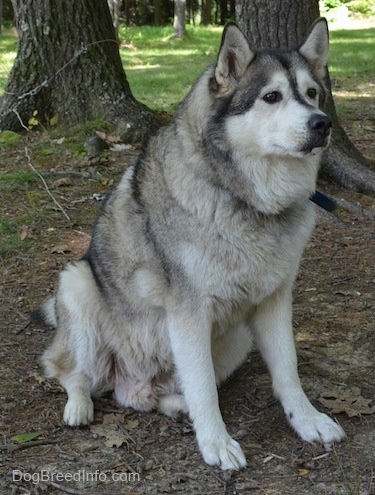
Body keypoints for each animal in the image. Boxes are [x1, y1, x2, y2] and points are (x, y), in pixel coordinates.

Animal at [37, 18, 346, 468]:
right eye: (271, 97)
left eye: (311, 94)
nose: (322, 123)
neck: (244, 200)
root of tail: (133, 382)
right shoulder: (188, 312)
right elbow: (203, 388)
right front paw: (216, 443)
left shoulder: (274, 300)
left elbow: (287, 371)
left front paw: (308, 421)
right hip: (77, 286)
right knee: (73, 375)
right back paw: (79, 407)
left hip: (235, 339)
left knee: (159, 395)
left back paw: (174, 405)